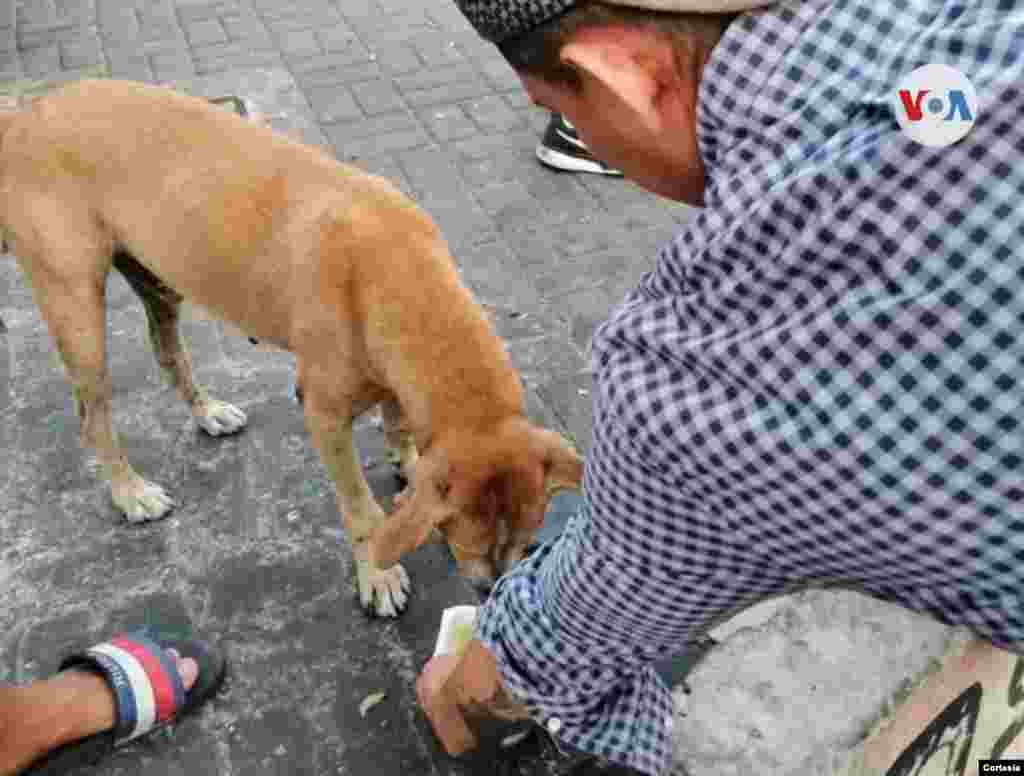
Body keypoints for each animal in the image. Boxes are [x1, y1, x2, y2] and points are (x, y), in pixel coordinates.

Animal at [0, 80, 581, 618]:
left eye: (526, 541)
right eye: (470, 545)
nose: (491, 593)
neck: (395, 265)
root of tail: (26, 114)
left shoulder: (393, 380)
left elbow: (398, 425)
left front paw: (408, 464)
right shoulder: (323, 415)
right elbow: (361, 511)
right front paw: (377, 574)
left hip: (159, 283)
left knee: (168, 353)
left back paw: (206, 412)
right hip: (77, 312)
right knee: (92, 415)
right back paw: (129, 492)